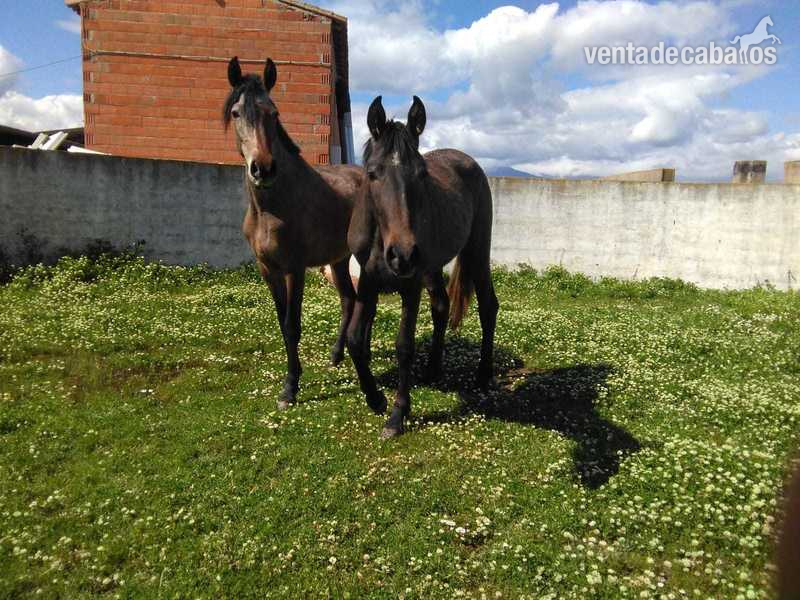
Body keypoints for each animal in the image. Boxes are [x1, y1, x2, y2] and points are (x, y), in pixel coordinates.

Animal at [223, 56, 363, 410]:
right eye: (236, 113)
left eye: (274, 113)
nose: (263, 168)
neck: (272, 206)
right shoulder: (267, 270)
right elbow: (281, 321)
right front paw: (292, 382)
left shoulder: (294, 269)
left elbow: (292, 325)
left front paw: (290, 387)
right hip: (339, 258)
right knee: (348, 298)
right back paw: (336, 355)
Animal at [346, 95, 498, 439]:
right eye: (372, 173)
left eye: (422, 174)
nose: (402, 255)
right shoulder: (368, 283)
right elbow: (355, 341)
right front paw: (375, 398)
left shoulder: (411, 286)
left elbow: (404, 346)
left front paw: (397, 414)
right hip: (431, 268)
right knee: (441, 306)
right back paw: (432, 368)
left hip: (475, 252)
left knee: (488, 306)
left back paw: (483, 374)